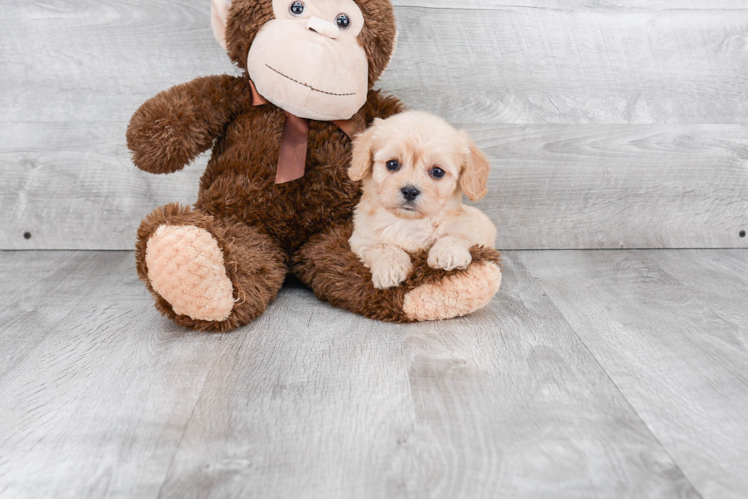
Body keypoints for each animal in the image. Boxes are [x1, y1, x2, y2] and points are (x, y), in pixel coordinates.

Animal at [350, 109, 496, 290]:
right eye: (392, 164)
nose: (410, 191)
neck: (409, 222)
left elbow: (456, 235)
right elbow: (382, 246)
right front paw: (391, 269)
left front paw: (448, 253)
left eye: (437, 172)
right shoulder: (361, 238)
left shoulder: (474, 228)